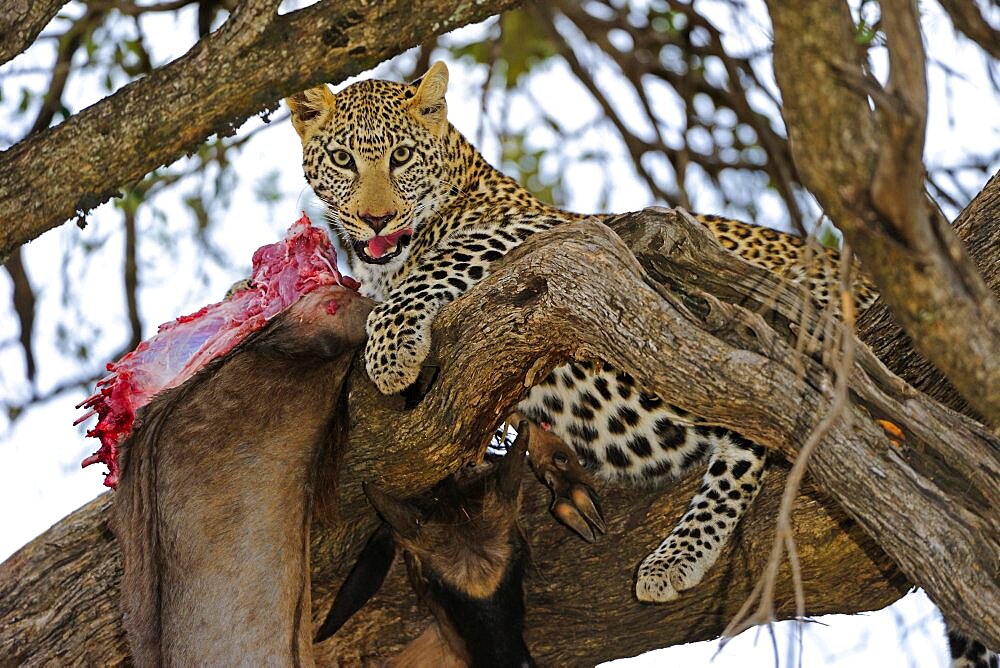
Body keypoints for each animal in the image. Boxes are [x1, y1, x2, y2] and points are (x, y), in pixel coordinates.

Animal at [288, 61, 992, 664]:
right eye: (344, 160)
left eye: (401, 157)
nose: (375, 217)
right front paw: (547, 461)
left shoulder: (556, 231)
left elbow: (439, 264)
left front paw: (391, 347)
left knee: (762, 420)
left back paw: (675, 555)